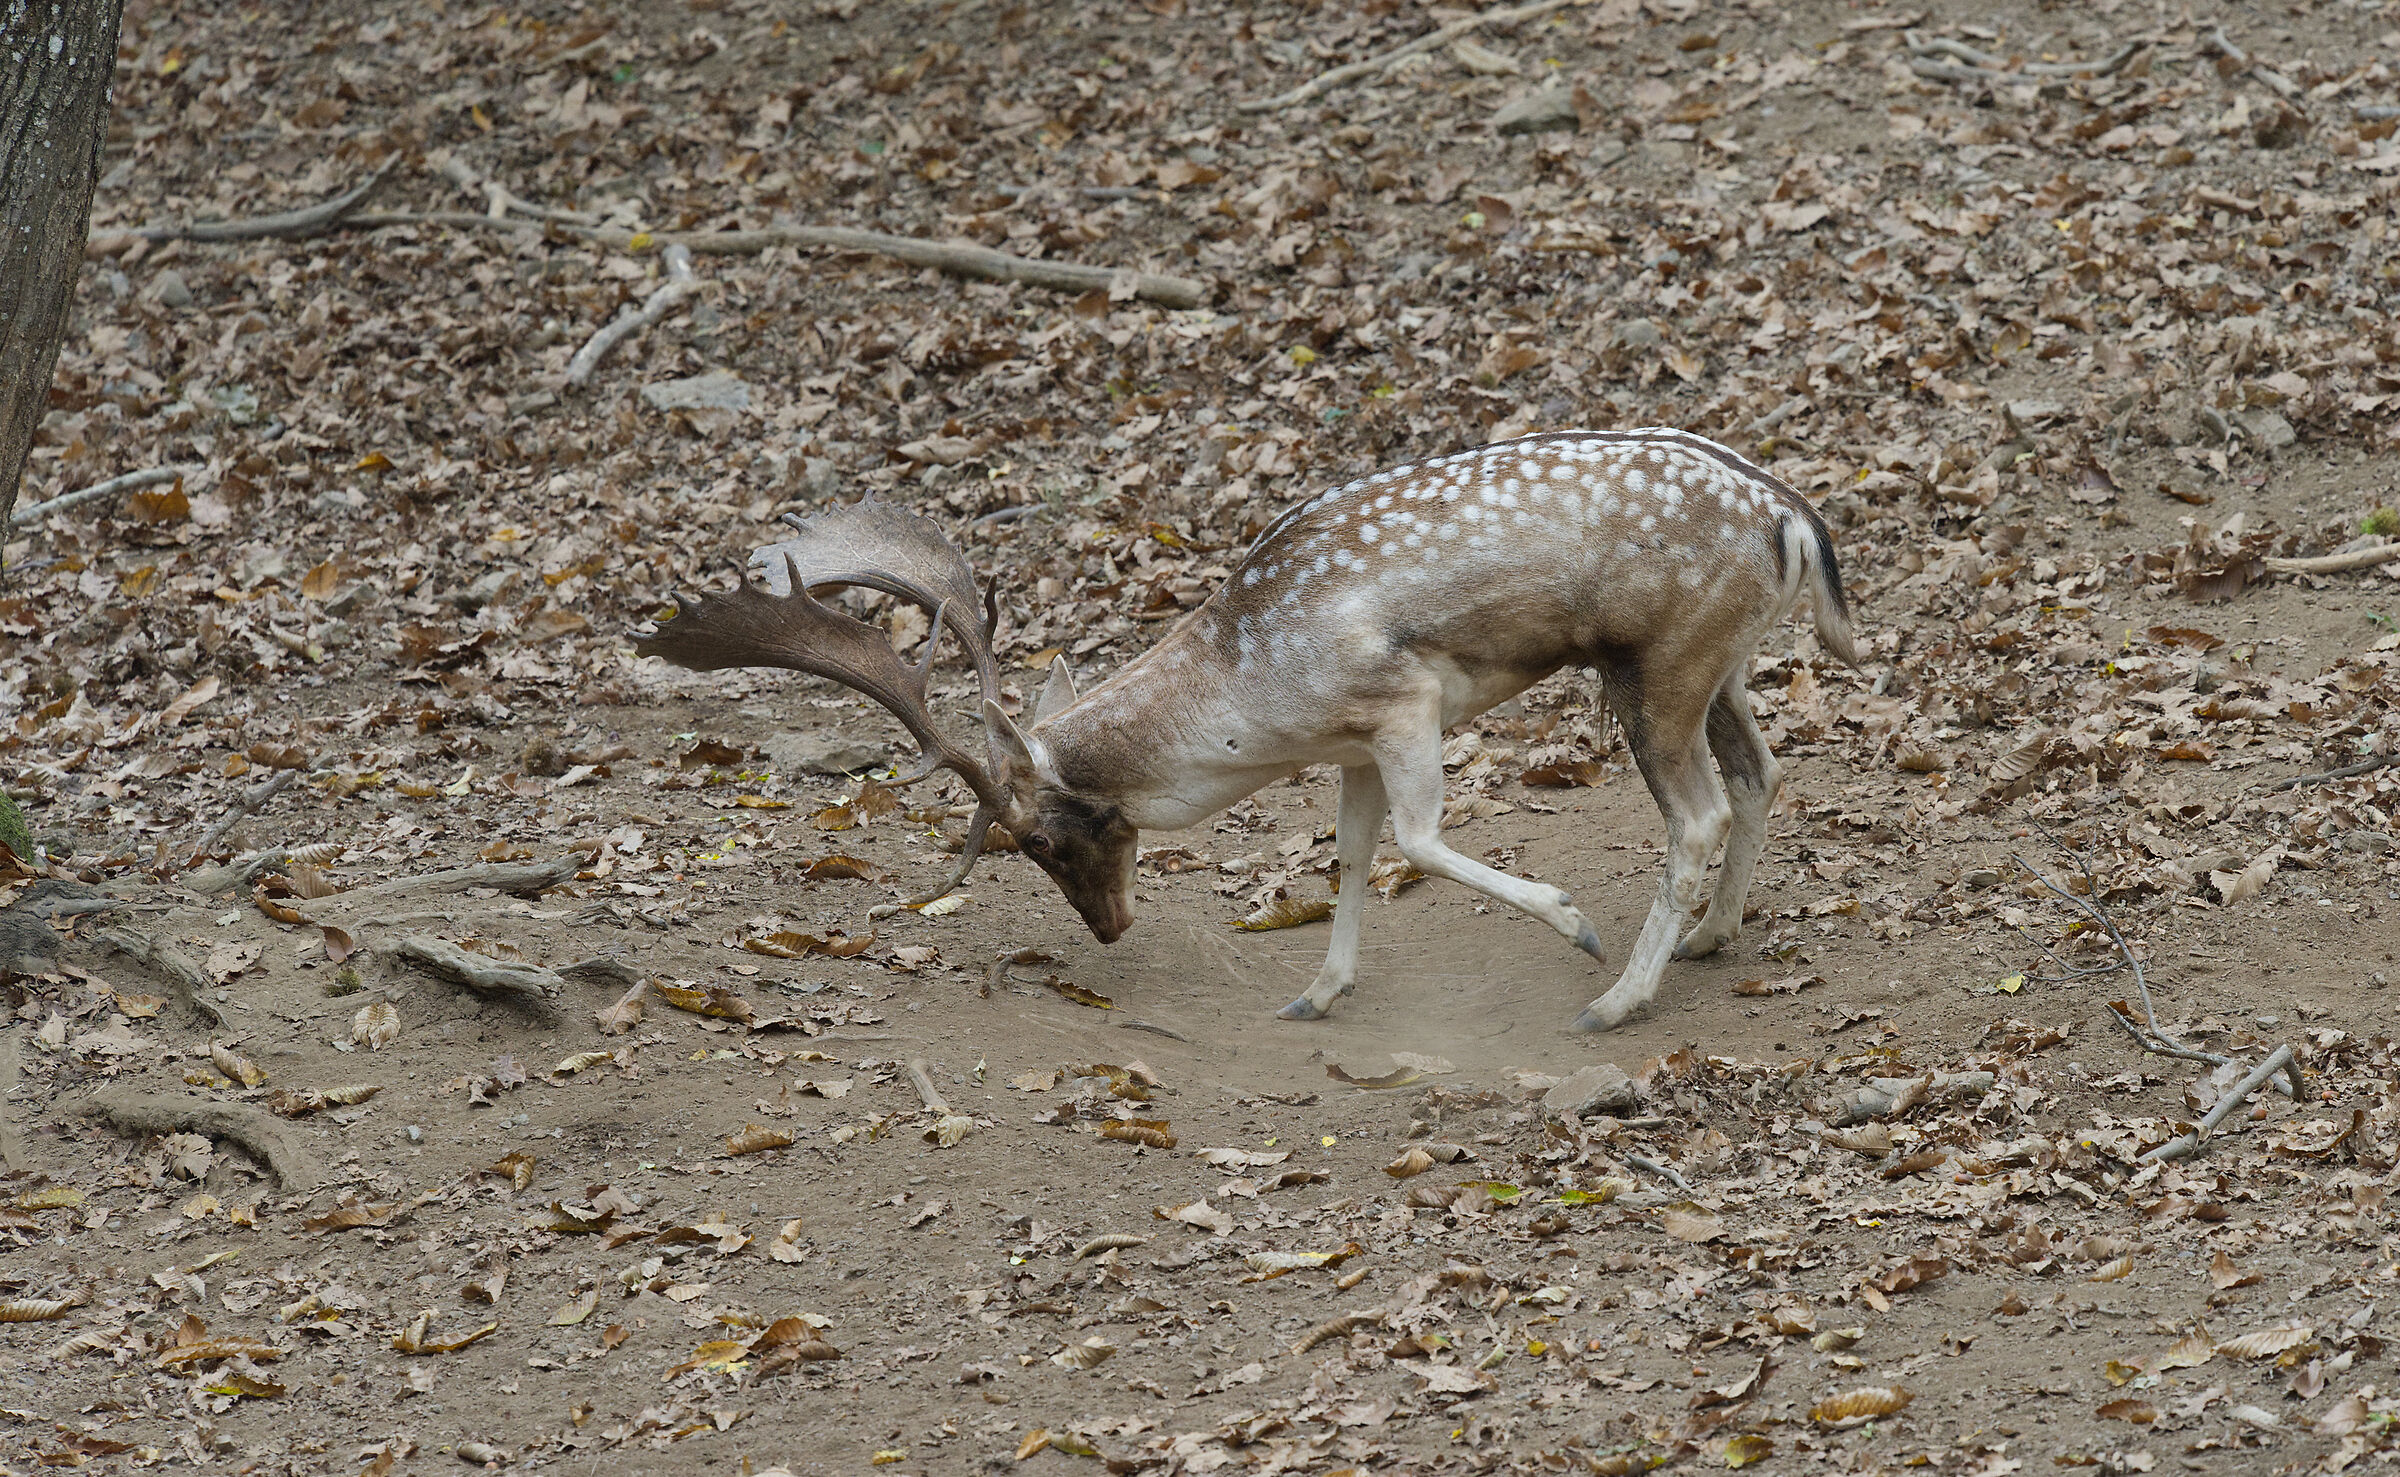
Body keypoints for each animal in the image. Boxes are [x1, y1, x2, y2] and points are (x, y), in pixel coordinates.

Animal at [636, 427, 1857, 1032]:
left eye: (1040, 840)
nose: (1111, 928)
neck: (1251, 692)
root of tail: (1793, 517)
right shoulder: (1357, 741)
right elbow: (1355, 851)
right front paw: (1318, 991)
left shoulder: (1403, 700)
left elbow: (1417, 842)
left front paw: (1573, 925)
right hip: (1715, 665)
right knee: (1761, 773)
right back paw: (1709, 937)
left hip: (1660, 666)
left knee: (1698, 812)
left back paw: (1615, 997)